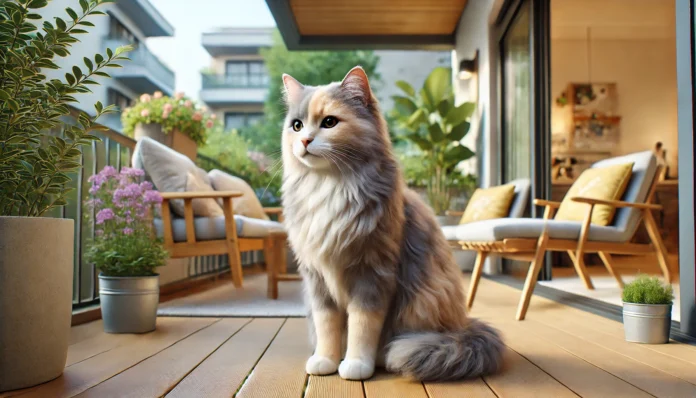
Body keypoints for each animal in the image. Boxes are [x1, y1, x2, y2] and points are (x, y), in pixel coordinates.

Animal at [280, 67, 502, 380]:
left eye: (329, 122)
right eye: (297, 126)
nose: (304, 141)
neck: (329, 187)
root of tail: (463, 327)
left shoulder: (372, 272)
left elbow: (362, 327)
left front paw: (357, 365)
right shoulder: (317, 280)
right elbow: (327, 327)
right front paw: (325, 360)